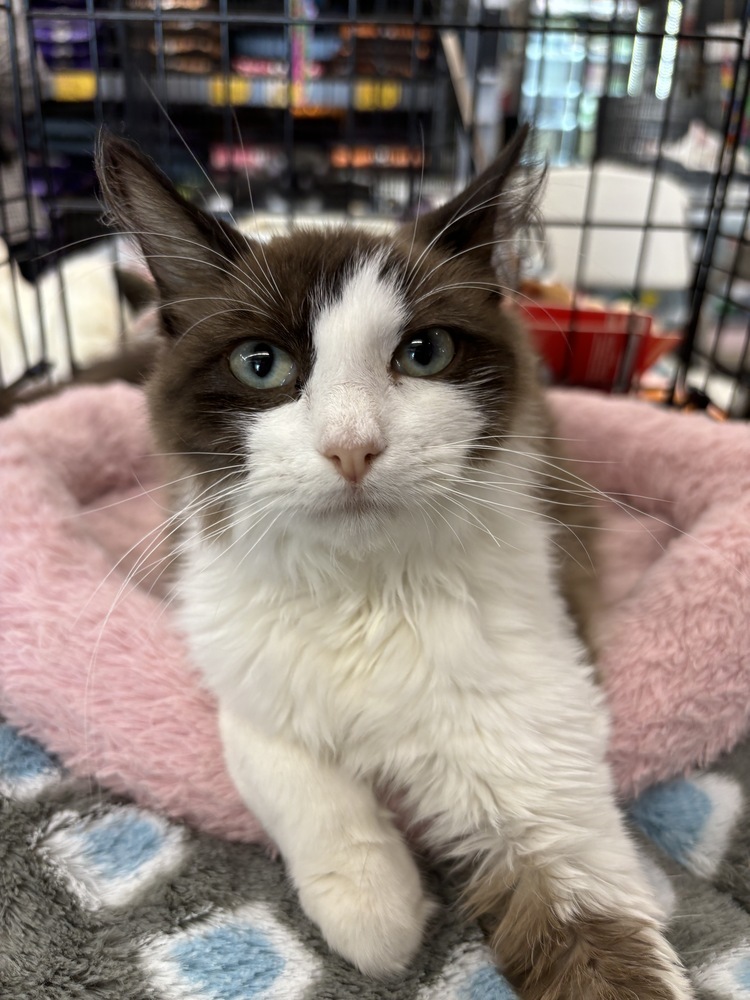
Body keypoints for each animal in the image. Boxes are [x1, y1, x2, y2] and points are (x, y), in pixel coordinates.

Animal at [97, 127, 696, 1000]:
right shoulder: (238, 656)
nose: (353, 447)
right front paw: (375, 903)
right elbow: (283, 765)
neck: (366, 590)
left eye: (424, 352)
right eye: (260, 365)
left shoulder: (536, 748)